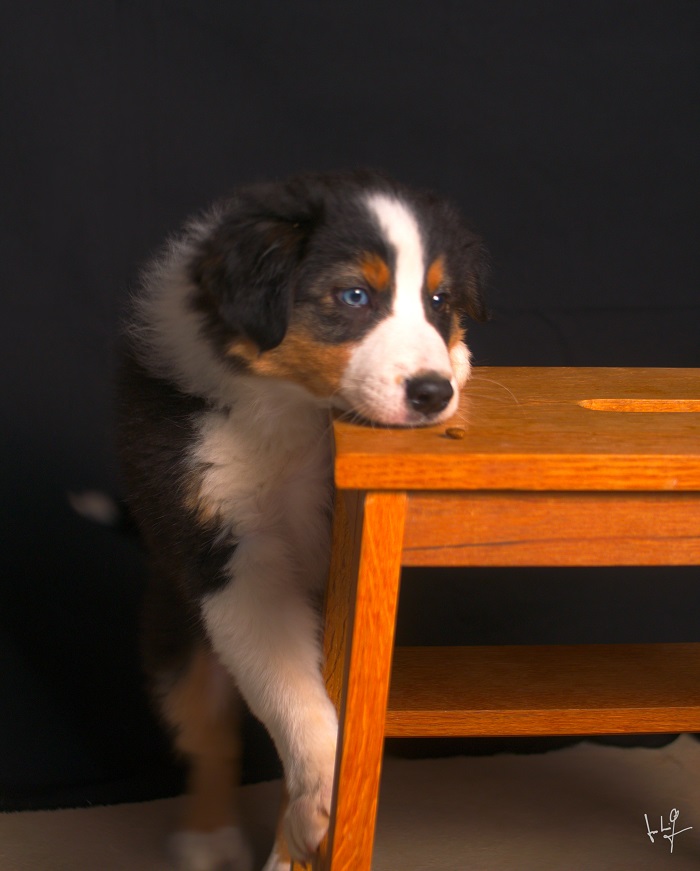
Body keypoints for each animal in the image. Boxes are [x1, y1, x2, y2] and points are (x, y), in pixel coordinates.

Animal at [116, 170, 486, 871]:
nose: (431, 393)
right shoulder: (228, 553)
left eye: (437, 299)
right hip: (174, 634)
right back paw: (210, 838)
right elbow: (289, 689)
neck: (294, 409)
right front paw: (324, 794)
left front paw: (456, 356)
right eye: (354, 295)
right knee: (209, 734)